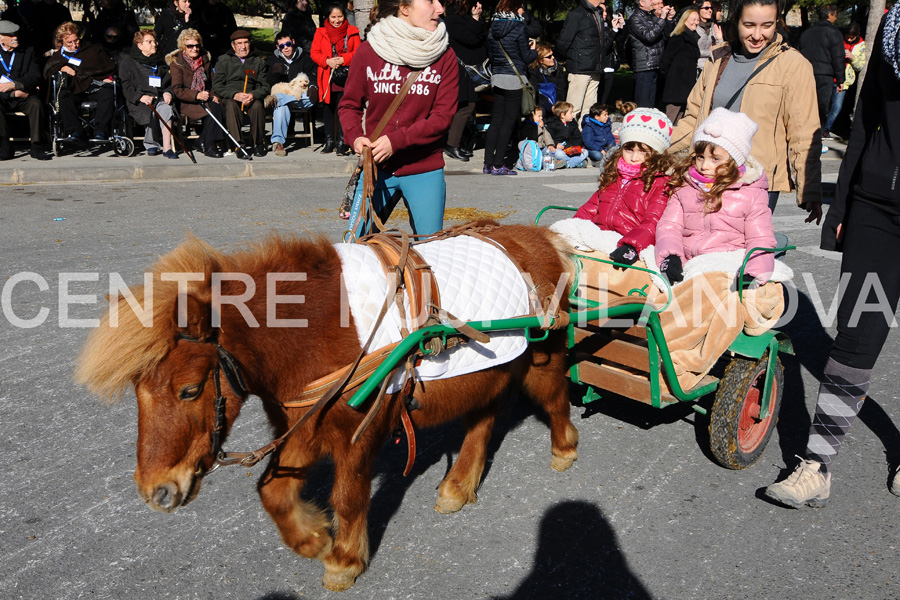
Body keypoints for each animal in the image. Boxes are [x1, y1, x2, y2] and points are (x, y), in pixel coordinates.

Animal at [79, 223, 584, 592]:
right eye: (138, 392)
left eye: (188, 390)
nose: (156, 492)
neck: (316, 330)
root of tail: (544, 237)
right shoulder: (303, 425)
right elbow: (272, 491)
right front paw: (312, 538)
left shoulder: (357, 434)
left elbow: (349, 496)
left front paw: (343, 559)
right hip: (490, 373)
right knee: (483, 420)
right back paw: (457, 487)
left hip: (542, 357)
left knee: (554, 399)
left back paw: (564, 451)